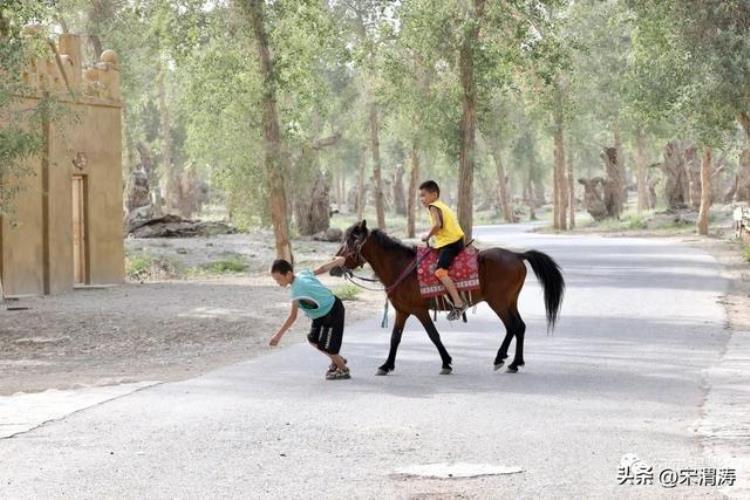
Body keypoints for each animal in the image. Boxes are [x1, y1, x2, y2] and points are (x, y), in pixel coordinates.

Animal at [334, 220, 564, 376]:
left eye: (351, 241)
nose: (335, 266)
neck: (401, 266)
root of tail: (518, 255)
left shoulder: (419, 310)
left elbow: (433, 335)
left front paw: (446, 362)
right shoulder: (402, 311)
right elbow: (395, 338)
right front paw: (386, 365)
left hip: (498, 302)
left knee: (513, 326)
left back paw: (504, 359)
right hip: (510, 301)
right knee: (519, 327)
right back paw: (514, 362)